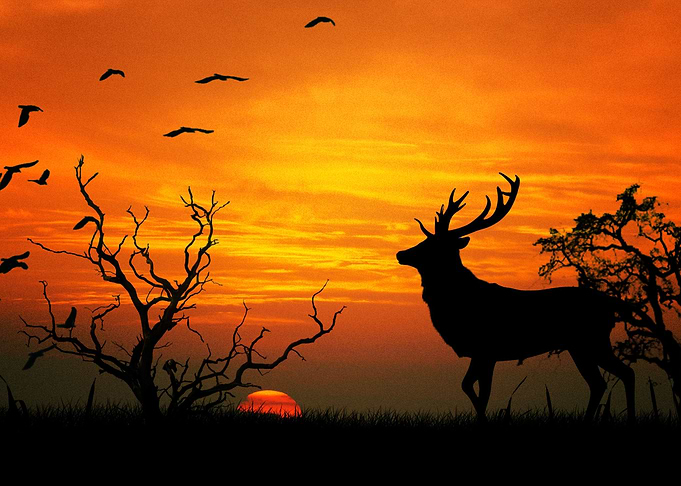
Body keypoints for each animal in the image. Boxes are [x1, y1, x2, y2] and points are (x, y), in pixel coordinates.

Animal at [396, 173, 635, 423]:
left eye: (432, 244)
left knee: (618, 375)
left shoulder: (486, 349)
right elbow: (471, 388)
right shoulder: (481, 353)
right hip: (581, 345)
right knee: (604, 381)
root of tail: (611, 303)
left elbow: (478, 391)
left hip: (591, 340)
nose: (401, 253)